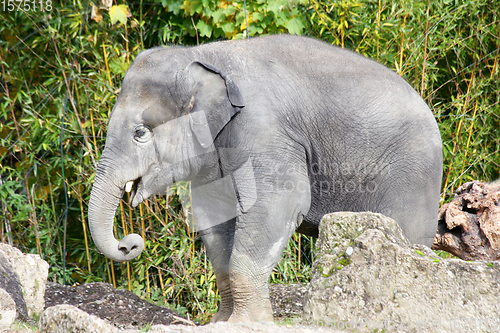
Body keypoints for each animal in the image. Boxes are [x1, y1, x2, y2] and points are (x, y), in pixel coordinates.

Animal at [88, 34, 444, 322]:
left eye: (140, 133)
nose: (129, 243)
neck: (201, 56)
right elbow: (215, 218)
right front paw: (220, 323)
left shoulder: (266, 132)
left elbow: (277, 204)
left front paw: (245, 324)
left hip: (410, 174)